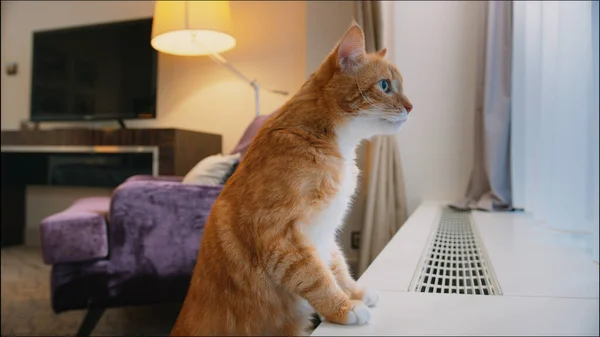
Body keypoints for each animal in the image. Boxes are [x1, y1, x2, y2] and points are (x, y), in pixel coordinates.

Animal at [171, 22, 410, 334]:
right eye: (385, 86)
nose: (411, 107)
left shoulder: (325, 233)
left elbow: (336, 266)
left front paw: (355, 292)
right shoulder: (279, 233)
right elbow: (316, 276)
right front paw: (343, 307)